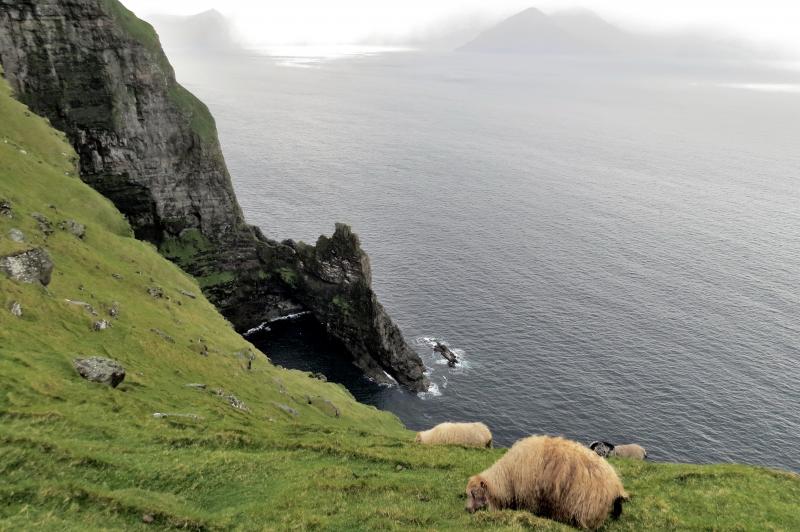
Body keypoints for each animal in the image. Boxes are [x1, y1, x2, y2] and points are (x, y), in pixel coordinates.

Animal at [466, 434, 628, 528]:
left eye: (474, 493)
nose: (467, 510)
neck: (507, 476)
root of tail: (616, 484)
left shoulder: (529, 496)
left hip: (587, 509)